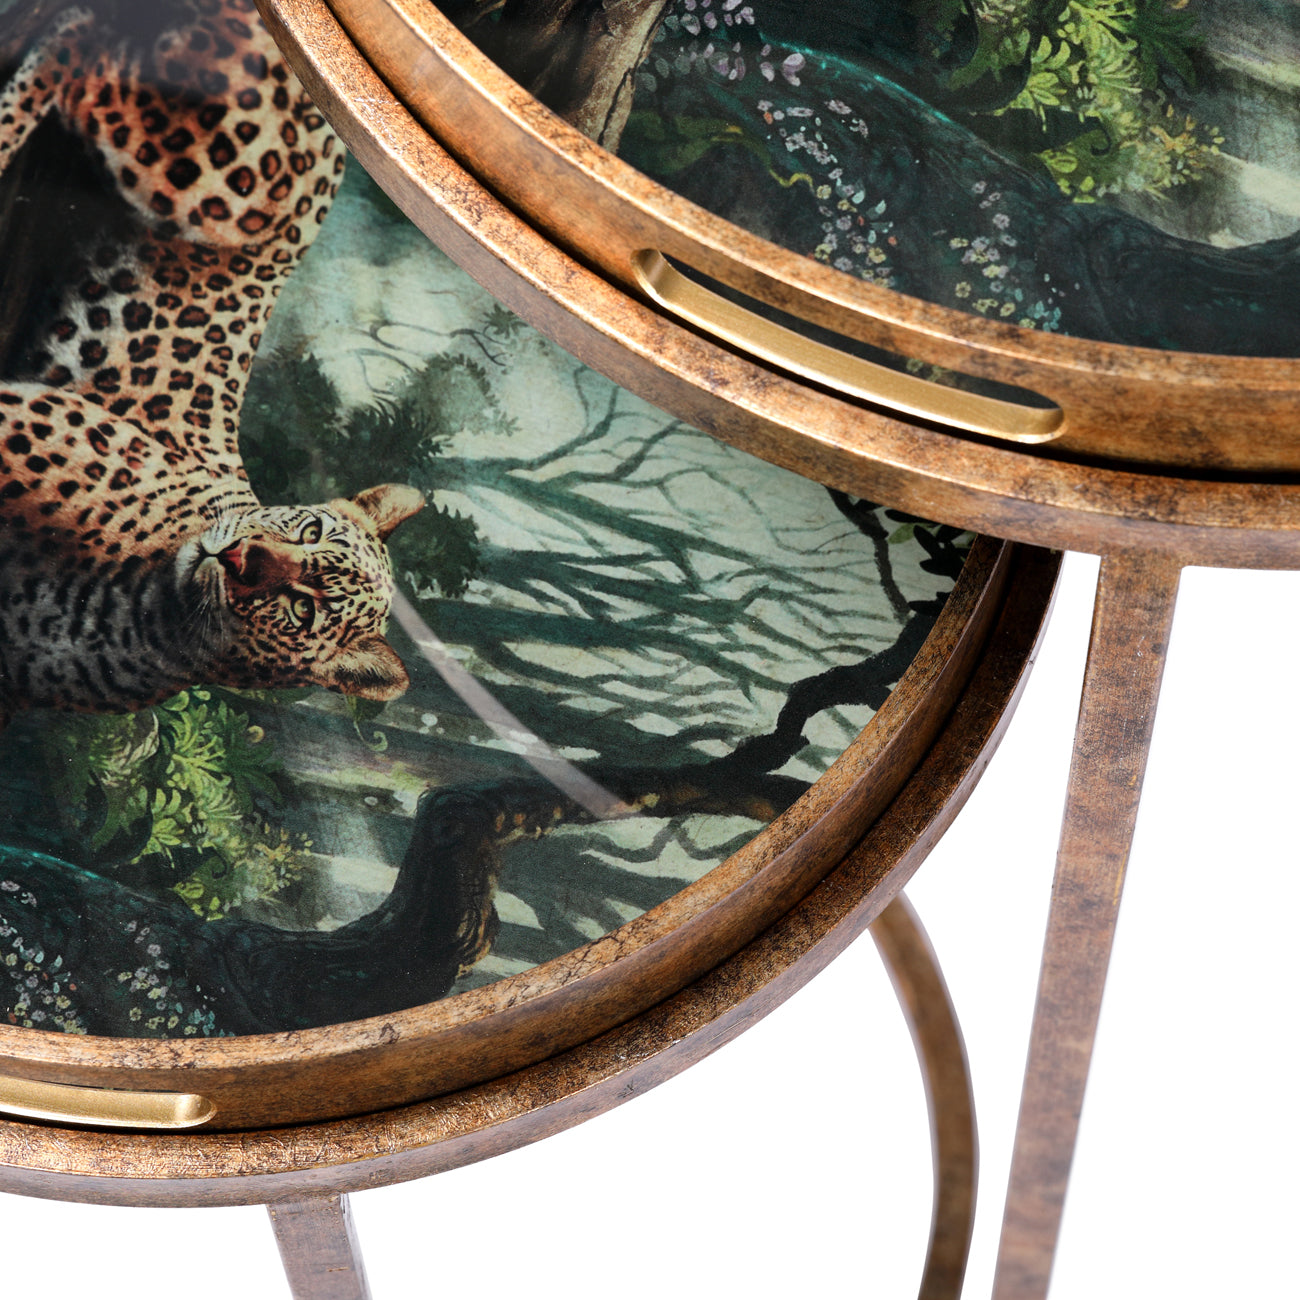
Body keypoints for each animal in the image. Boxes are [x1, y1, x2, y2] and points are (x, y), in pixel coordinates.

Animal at [0, 0, 425, 728]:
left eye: (302, 609)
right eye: (309, 527)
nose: (240, 556)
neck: (156, 613)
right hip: (216, 183)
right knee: (88, 50)